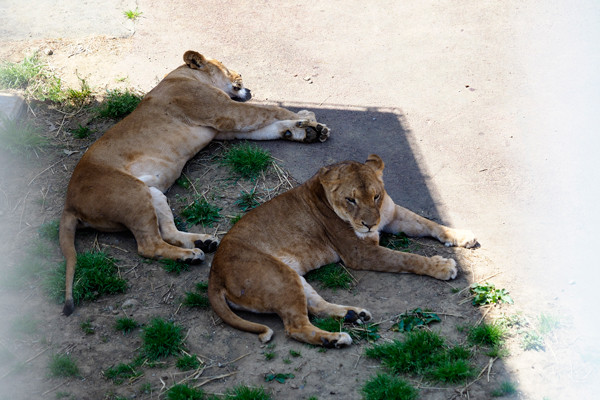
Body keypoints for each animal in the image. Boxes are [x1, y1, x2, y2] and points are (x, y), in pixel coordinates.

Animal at [60, 50, 330, 316]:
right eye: (224, 65)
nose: (242, 76)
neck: (183, 75)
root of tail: (69, 205)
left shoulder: (224, 129)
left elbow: (270, 126)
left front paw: (303, 131)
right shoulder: (227, 113)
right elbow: (271, 110)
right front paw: (306, 118)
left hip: (152, 193)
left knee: (166, 231)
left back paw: (202, 242)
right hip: (132, 193)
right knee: (148, 245)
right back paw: (191, 255)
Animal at [209, 155, 476, 348]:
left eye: (376, 196)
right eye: (351, 200)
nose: (369, 225)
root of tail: (214, 275)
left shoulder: (393, 215)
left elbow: (429, 223)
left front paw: (462, 235)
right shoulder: (361, 253)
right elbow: (406, 259)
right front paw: (442, 266)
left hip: (291, 277)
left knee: (316, 306)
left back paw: (353, 315)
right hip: (279, 277)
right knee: (295, 326)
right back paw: (335, 339)